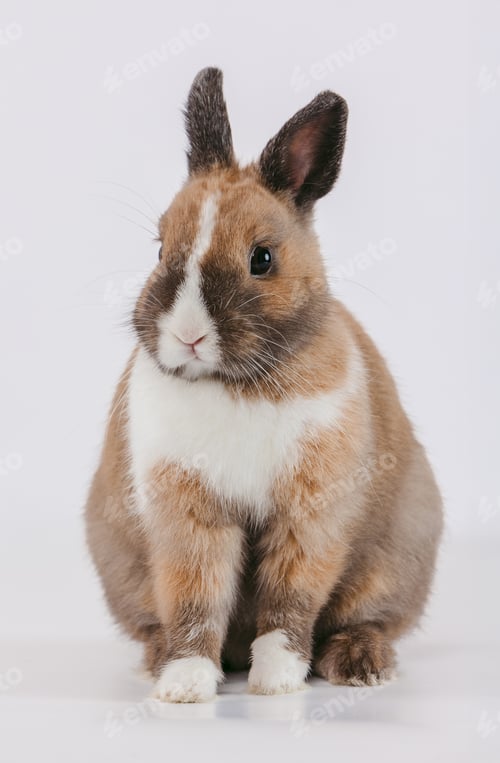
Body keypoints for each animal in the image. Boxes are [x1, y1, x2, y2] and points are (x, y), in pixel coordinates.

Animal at [85, 67, 443, 703]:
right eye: (160, 247)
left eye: (263, 258)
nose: (188, 335)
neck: (235, 384)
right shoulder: (186, 516)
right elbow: (195, 599)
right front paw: (184, 685)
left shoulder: (313, 514)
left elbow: (290, 599)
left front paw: (275, 680)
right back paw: (158, 661)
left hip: (397, 559)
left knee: (369, 619)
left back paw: (360, 665)